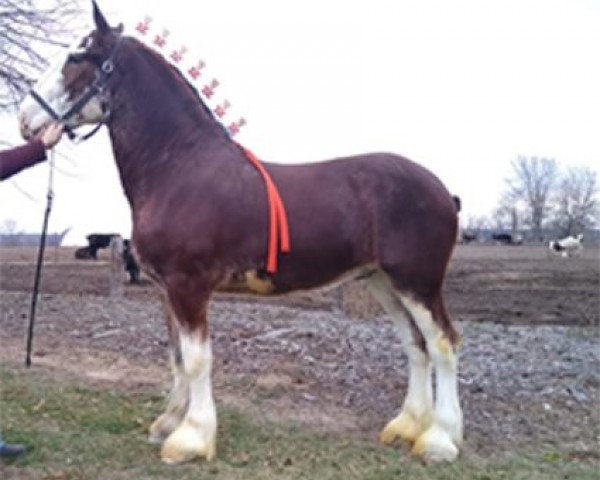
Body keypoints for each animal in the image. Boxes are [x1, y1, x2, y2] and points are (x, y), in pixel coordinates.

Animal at [21, 0, 464, 464]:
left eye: (77, 56)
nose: (25, 118)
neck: (177, 167)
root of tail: (441, 190)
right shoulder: (167, 290)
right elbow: (177, 356)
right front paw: (169, 423)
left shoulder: (188, 285)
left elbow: (197, 359)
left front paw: (192, 438)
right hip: (383, 282)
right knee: (415, 345)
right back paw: (406, 427)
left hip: (418, 282)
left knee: (443, 344)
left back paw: (440, 439)